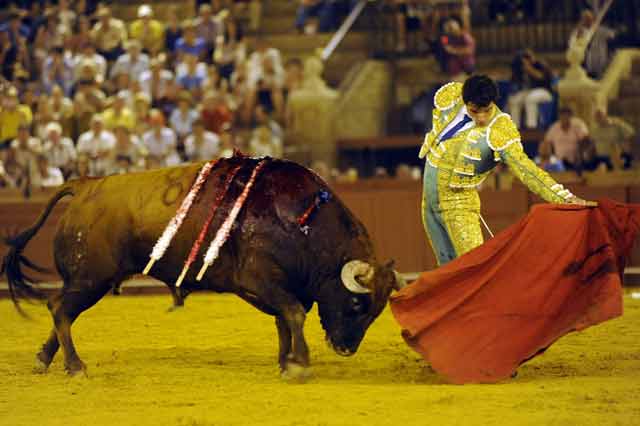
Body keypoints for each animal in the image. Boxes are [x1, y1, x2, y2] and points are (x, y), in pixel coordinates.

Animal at [2, 156, 404, 380]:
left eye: (377, 312)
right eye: (357, 304)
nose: (346, 349)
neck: (302, 220)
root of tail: (86, 185)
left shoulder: (286, 286)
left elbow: (285, 321)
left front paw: (286, 361)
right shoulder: (261, 278)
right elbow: (291, 314)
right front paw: (299, 365)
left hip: (88, 280)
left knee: (61, 311)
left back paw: (44, 360)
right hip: (91, 278)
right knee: (60, 309)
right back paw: (75, 366)